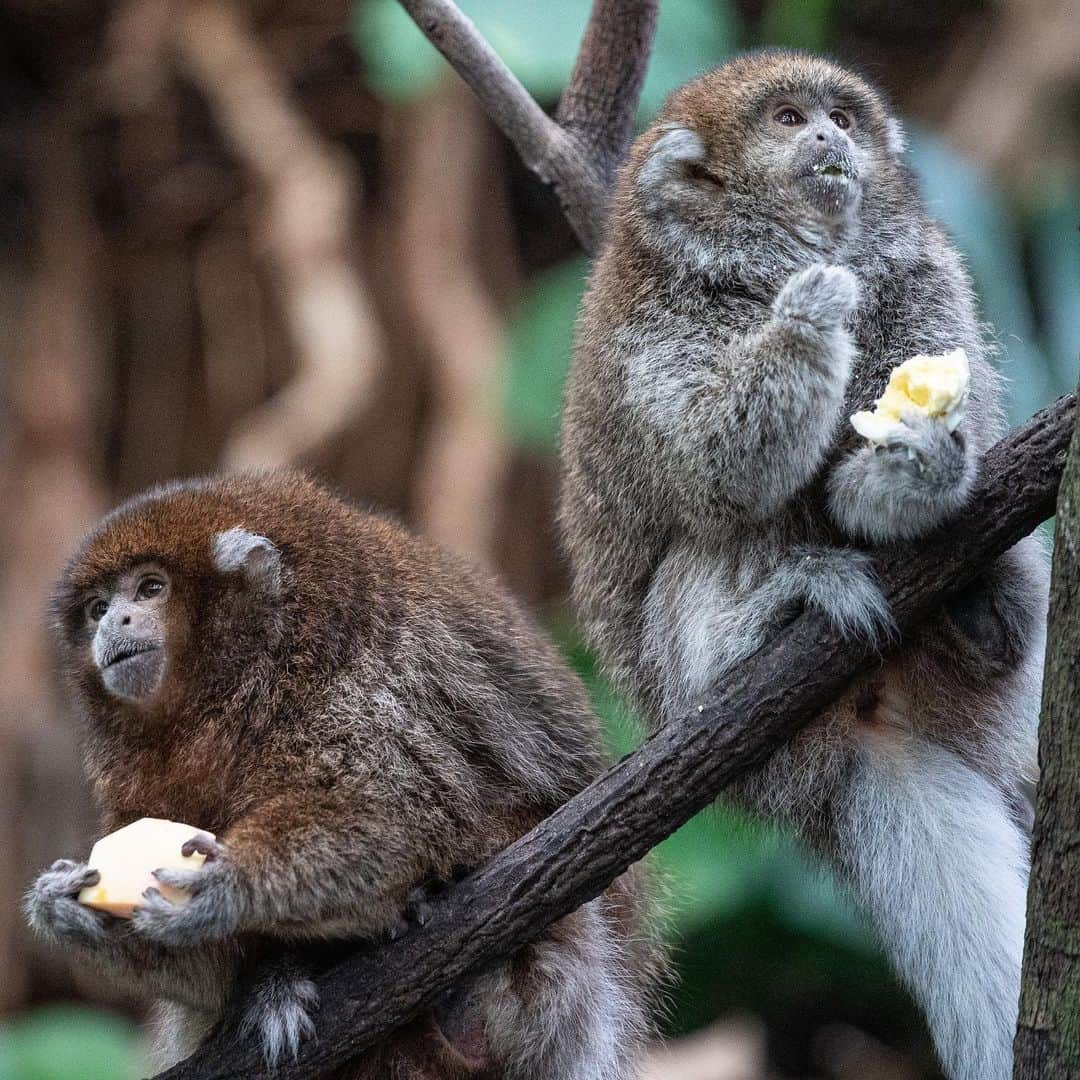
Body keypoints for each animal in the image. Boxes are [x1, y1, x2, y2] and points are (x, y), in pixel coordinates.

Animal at [25, 475, 656, 1080]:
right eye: (97, 607)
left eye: (151, 588)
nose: (115, 622)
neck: (246, 678)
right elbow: (205, 981)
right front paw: (67, 910)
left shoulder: (364, 677)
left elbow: (397, 813)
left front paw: (224, 888)